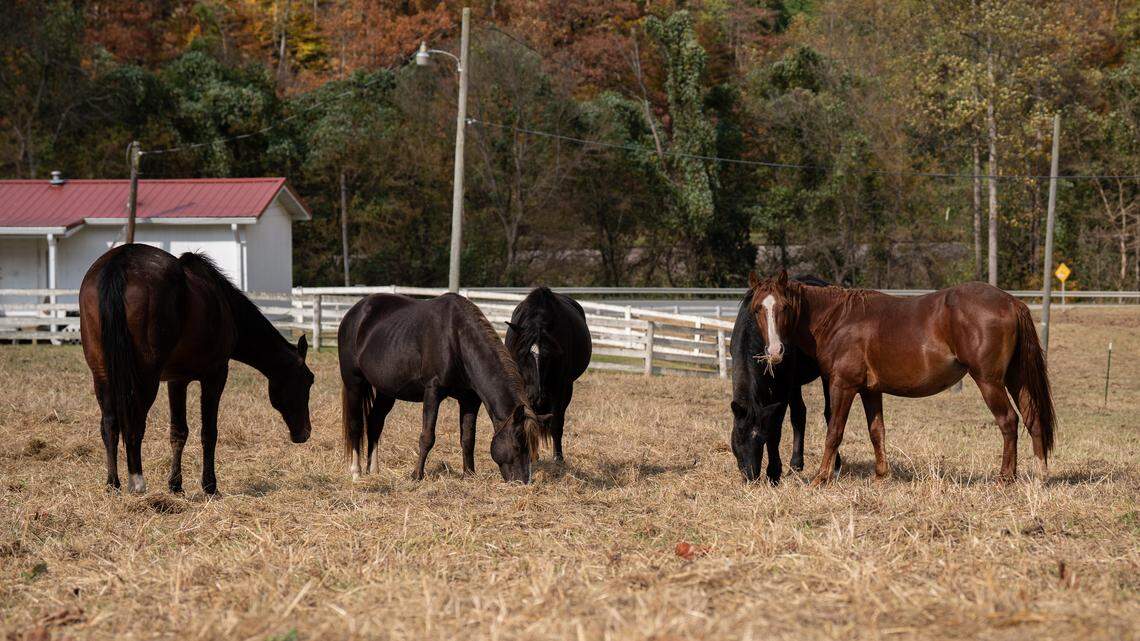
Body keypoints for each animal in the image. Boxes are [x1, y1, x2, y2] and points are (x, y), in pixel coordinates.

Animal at [79, 244, 314, 495]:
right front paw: (210, 485)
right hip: (144, 379)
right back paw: (137, 482)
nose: (304, 433)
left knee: (110, 425)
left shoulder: (177, 381)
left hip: (102, 376)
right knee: (134, 424)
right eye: (309, 380)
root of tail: (119, 262)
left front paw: (175, 485)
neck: (224, 305)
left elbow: (178, 431)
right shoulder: (215, 376)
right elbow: (208, 432)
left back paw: (113, 483)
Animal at [337, 293, 551, 483]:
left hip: (386, 390)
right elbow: (427, 436)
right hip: (354, 382)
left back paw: (373, 470)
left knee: (375, 422)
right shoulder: (433, 391)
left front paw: (469, 474)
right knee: (356, 425)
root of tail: (355, 312)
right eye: (517, 445)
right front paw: (416, 475)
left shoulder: (470, 399)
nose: (523, 481)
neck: (456, 339)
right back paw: (356, 473)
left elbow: (468, 438)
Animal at [504, 287, 592, 462]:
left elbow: (556, 423)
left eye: (549, 355)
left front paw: (558, 457)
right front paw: (532, 455)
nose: (536, 395)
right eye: (523, 354)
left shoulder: (559, 388)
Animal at [730, 276, 838, 484]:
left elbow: (775, 427)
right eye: (738, 437)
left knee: (830, 414)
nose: (751, 476)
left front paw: (773, 473)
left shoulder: (782, 387)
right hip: (795, 384)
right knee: (799, 414)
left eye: (760, 440)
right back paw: (796, 464)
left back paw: (835, 466)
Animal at [747, 270, 1054, 486]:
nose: (774, 351)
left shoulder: (843, 386)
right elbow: (876, 431)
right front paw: (881, 476)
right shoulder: (870, 390)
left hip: (989, 381)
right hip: (1016, 378)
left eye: (784, 307)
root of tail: (1011, 301)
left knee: (1008, 421)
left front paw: (821, 477)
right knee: (1032, 418)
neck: (838, 319)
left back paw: (1005, 478)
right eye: (757, 309)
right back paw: (1040, 475)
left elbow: (834, 432)